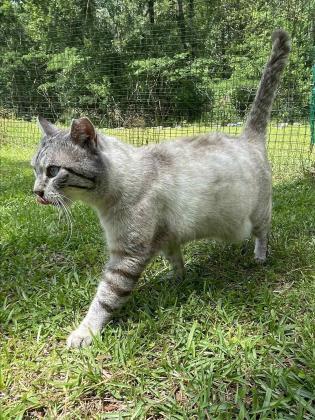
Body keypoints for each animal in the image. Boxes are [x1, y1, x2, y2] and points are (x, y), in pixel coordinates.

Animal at [32, 28, 292, 344]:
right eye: (35, 170)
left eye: (53, 171)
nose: (36, 192)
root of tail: (247, 137)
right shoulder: (167, 239)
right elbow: (175, 260)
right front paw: (177, 279)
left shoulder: (127, 256)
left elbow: (104, 298)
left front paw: (84, 333)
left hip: (259, 214)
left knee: (263, 234)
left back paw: (259, 257)